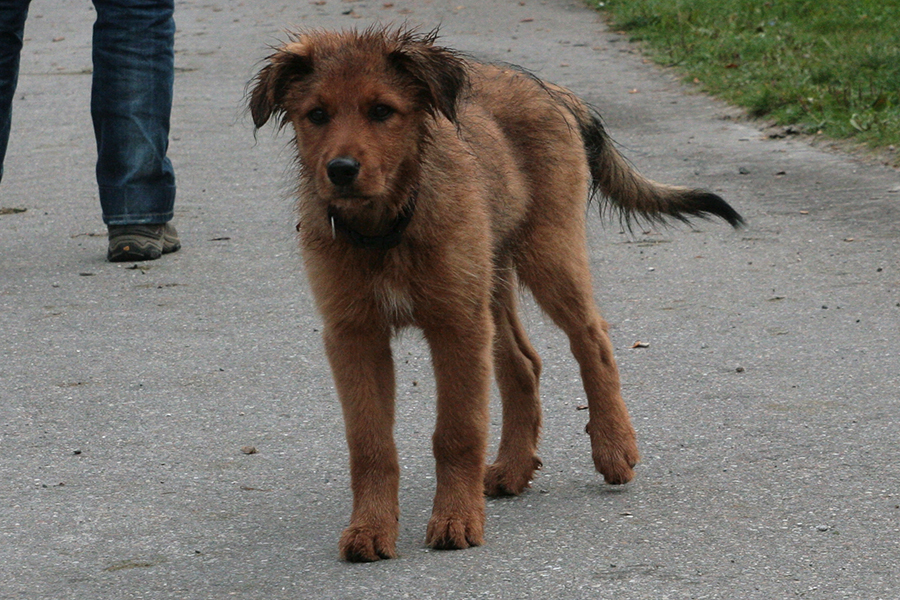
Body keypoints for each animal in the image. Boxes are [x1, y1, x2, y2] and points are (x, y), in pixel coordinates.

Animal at [249, 26, 743, 562]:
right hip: (491, 281)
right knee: (523, 364)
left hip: (547, 254)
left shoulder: (456, 326)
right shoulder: (354, 334)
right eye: (316, 115)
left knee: (592, 339)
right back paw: (513, 468)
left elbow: (458, 432)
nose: (340, 170)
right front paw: (371, 528)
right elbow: (370, 444)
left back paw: (614, 447)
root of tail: (546, 88)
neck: (386, 229)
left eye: (382, 110)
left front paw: (456, 520)